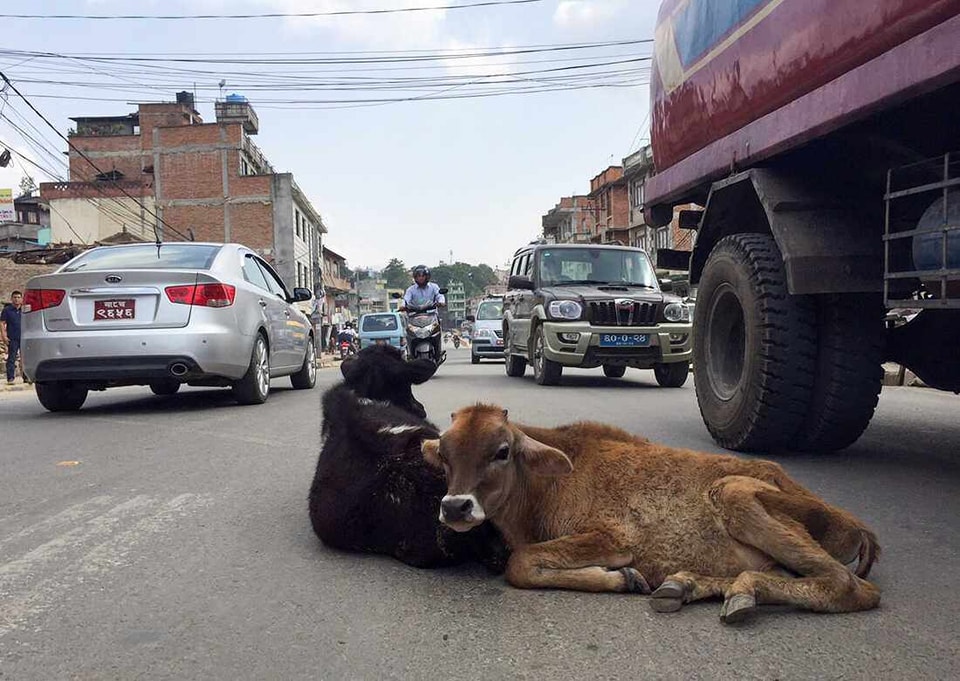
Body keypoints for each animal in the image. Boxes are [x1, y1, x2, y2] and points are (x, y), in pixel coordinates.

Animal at [420, 404, 876, 620]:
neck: (545, 486)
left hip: (734, 493)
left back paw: (733, 591)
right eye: (443, 454)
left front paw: (621, 577)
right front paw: (628, 579)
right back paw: (685, 586)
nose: (455, 507)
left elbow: (520, 563)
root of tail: (858, 526)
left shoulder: (612, 538)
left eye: (501, 451)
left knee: (849, 586)